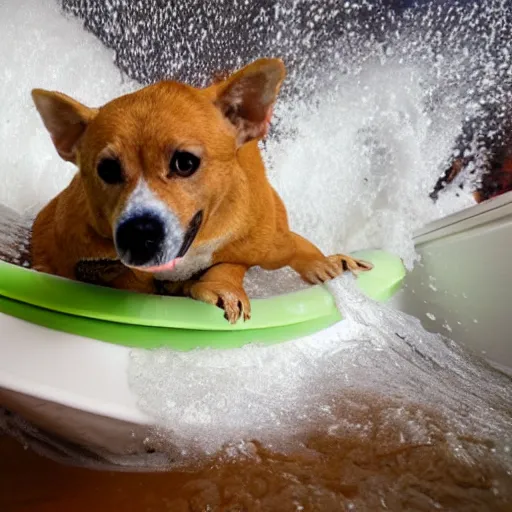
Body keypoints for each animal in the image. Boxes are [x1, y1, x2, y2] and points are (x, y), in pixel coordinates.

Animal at [30, 58, 372, 322]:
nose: (138, 234)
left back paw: (325, 263)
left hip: (272, 240)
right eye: (107, 170)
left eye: (185, 163)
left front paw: (222, 287)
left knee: (292, 245)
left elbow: (229, 267)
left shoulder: (248, 247)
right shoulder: (61, 238)